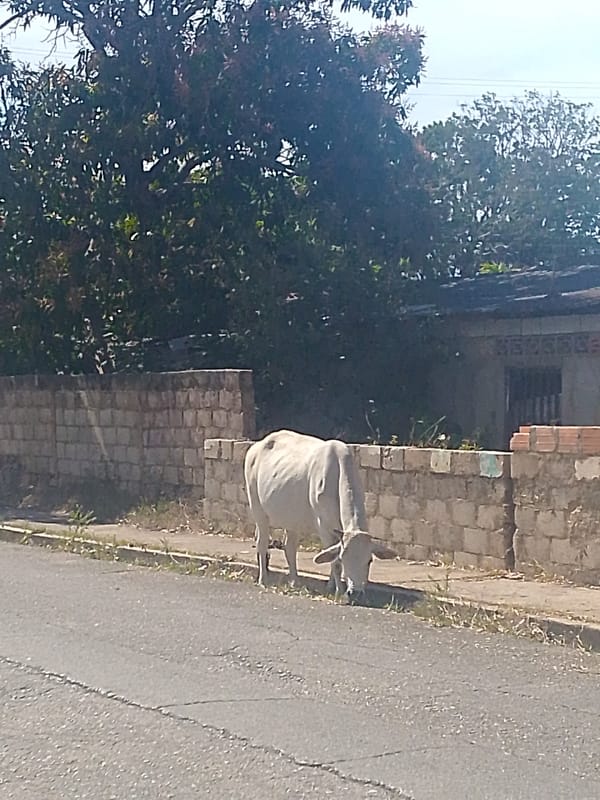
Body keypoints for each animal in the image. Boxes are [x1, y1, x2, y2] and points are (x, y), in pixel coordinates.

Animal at [244, 429, 396, 602]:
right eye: (344, 558)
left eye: (369, 560)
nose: (356, 593)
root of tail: (257, 446)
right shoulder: (324, 526)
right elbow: (334, 562)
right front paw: (338, 590)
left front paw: (330, 586)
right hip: (257, 508)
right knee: (262, 543)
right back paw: (263, 579)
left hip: (291, 520)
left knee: (289, 547)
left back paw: (295, 581)